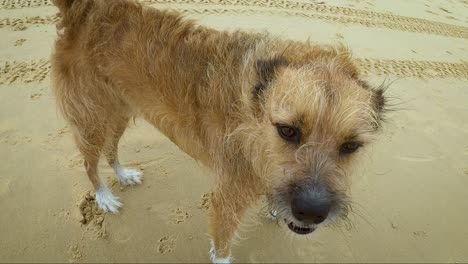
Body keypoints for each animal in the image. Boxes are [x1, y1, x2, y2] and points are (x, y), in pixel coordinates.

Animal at [51, 0, 388, 262]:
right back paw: (104, 196)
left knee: (111, 149)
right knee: (89, 162)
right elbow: (223, 246)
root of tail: (86, 10)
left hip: (119, 110)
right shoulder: (228, 197)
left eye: (351, 146)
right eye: (287, 130)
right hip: (92, 117)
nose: (311, 212)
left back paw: (122, 175)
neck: (251, 112)